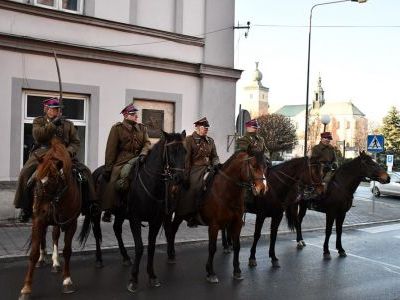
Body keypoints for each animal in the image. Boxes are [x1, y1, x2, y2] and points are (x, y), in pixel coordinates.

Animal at [19, 138, 82, 300]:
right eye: (36, 179)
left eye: (52, 180)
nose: (36, 208)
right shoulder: (38, 220)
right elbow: (33, 252)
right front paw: (26, 288)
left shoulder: (71, 223)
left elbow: (67, 251)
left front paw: (67, 281)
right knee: (44, 236)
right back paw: (43, 259)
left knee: (55, 235)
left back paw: (55, 262)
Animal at [80, 130, 188, 292]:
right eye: (171, 151)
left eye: (185, 151)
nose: (179, 178)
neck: (151, 184)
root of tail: (96, 172)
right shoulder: (135, 219)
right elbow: (139, 247)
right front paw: (133, 279)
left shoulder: (156, 221)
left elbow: (151, 248)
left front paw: (152, 276)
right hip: (96, 212)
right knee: (97, 232)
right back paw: (99, 259)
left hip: (120, 213)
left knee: (117, 229)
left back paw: (125, 257)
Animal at [164, 151, 268, 284]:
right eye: (253, 166)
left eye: (265, 166)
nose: (263, 189)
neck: (227, 191)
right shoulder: (214, 225)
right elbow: (212, 248)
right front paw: (211, 272)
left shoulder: (237, 224)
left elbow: (237, 246)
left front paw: (237, 271)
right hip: (177, 214)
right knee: (172, 231)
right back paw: (171, 255)